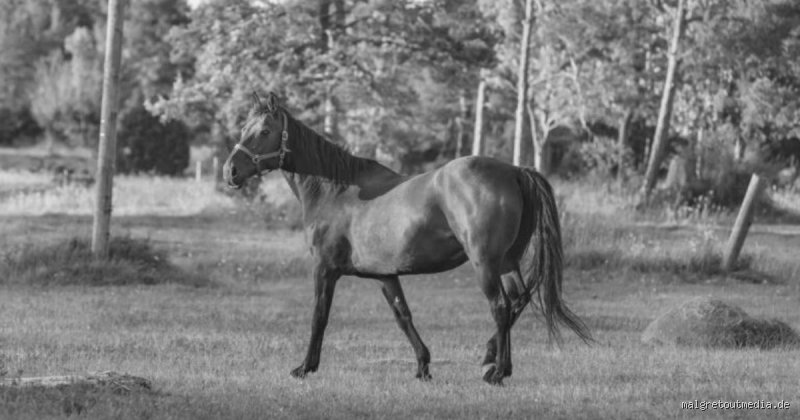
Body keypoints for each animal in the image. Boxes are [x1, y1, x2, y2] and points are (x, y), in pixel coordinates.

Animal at [222, 92, 591, 385]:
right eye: (244, 130)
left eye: (264, 132)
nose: (231, 171)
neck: (336, 190)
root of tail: (514, 171)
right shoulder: (386, 275)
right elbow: (403, 316)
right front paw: (423, 366)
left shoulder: (324, 270)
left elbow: (319, 316)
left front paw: (305, 367)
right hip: (507, 262)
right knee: (518, 300)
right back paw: (494, 362)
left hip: (485, 264)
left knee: (500, 306)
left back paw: (497, 372)